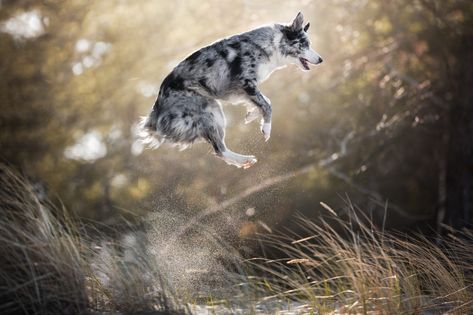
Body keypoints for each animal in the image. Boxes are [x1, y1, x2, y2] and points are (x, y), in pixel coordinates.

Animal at [139, 11, 320, 170]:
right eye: (304, 45)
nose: (320, 59)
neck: (269, 45)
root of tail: (156, 109)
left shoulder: (243, 90)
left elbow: (265, 102)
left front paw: (252, 115)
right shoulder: (246, 83)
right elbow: (267, 105)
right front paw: (266, 129)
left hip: (214, 111)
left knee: (220, 150)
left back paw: (244, 161)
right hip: (210, 115)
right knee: (220, 150)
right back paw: (245, 159)